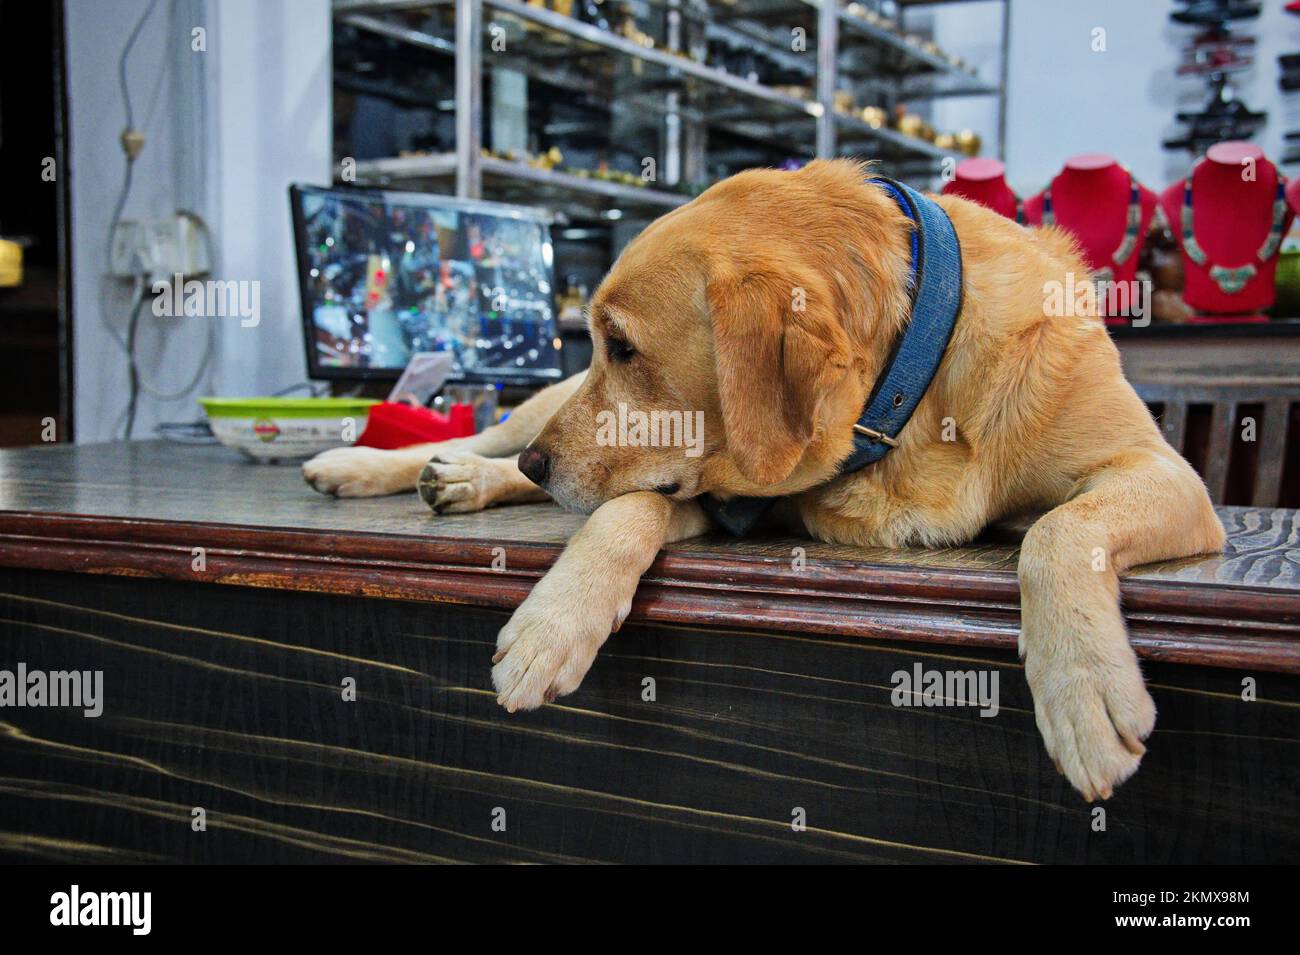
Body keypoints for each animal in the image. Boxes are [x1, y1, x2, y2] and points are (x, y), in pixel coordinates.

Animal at [306, 160, 1227, 805]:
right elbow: (625, 510)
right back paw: (398, 466)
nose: (542, 464)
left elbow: (1058, 527)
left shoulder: (1166, 474)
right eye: (599, 341)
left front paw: (1083, 682)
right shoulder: (727, 487)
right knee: (484, 432)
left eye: (623, 345)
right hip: (540, 407)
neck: (911, 394)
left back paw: (476, 477)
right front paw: (553, 621)